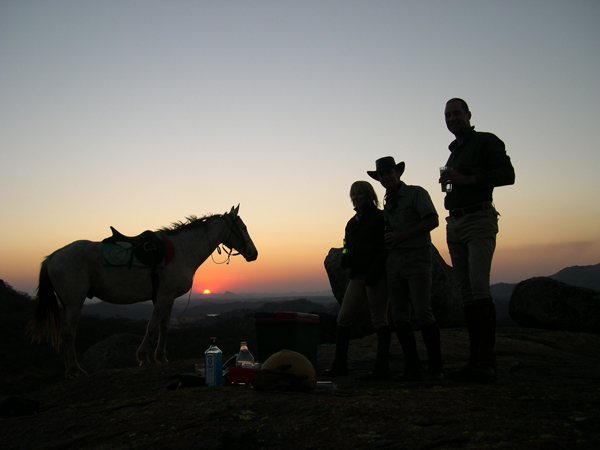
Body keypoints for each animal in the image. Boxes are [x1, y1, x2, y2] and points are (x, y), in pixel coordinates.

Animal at [28, 206, 258, 378]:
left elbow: (164, 327)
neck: (183, 250)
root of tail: (52, 257)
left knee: (65, 333)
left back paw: (70, 369)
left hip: (67, 303)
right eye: (243, 227)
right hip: (75, 302)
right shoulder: (163, 296)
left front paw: (160, 357)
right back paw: (76, 370)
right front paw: (142, 356)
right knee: (68, 333)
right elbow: (152, 325)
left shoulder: (169, 297)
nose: (253, 253)